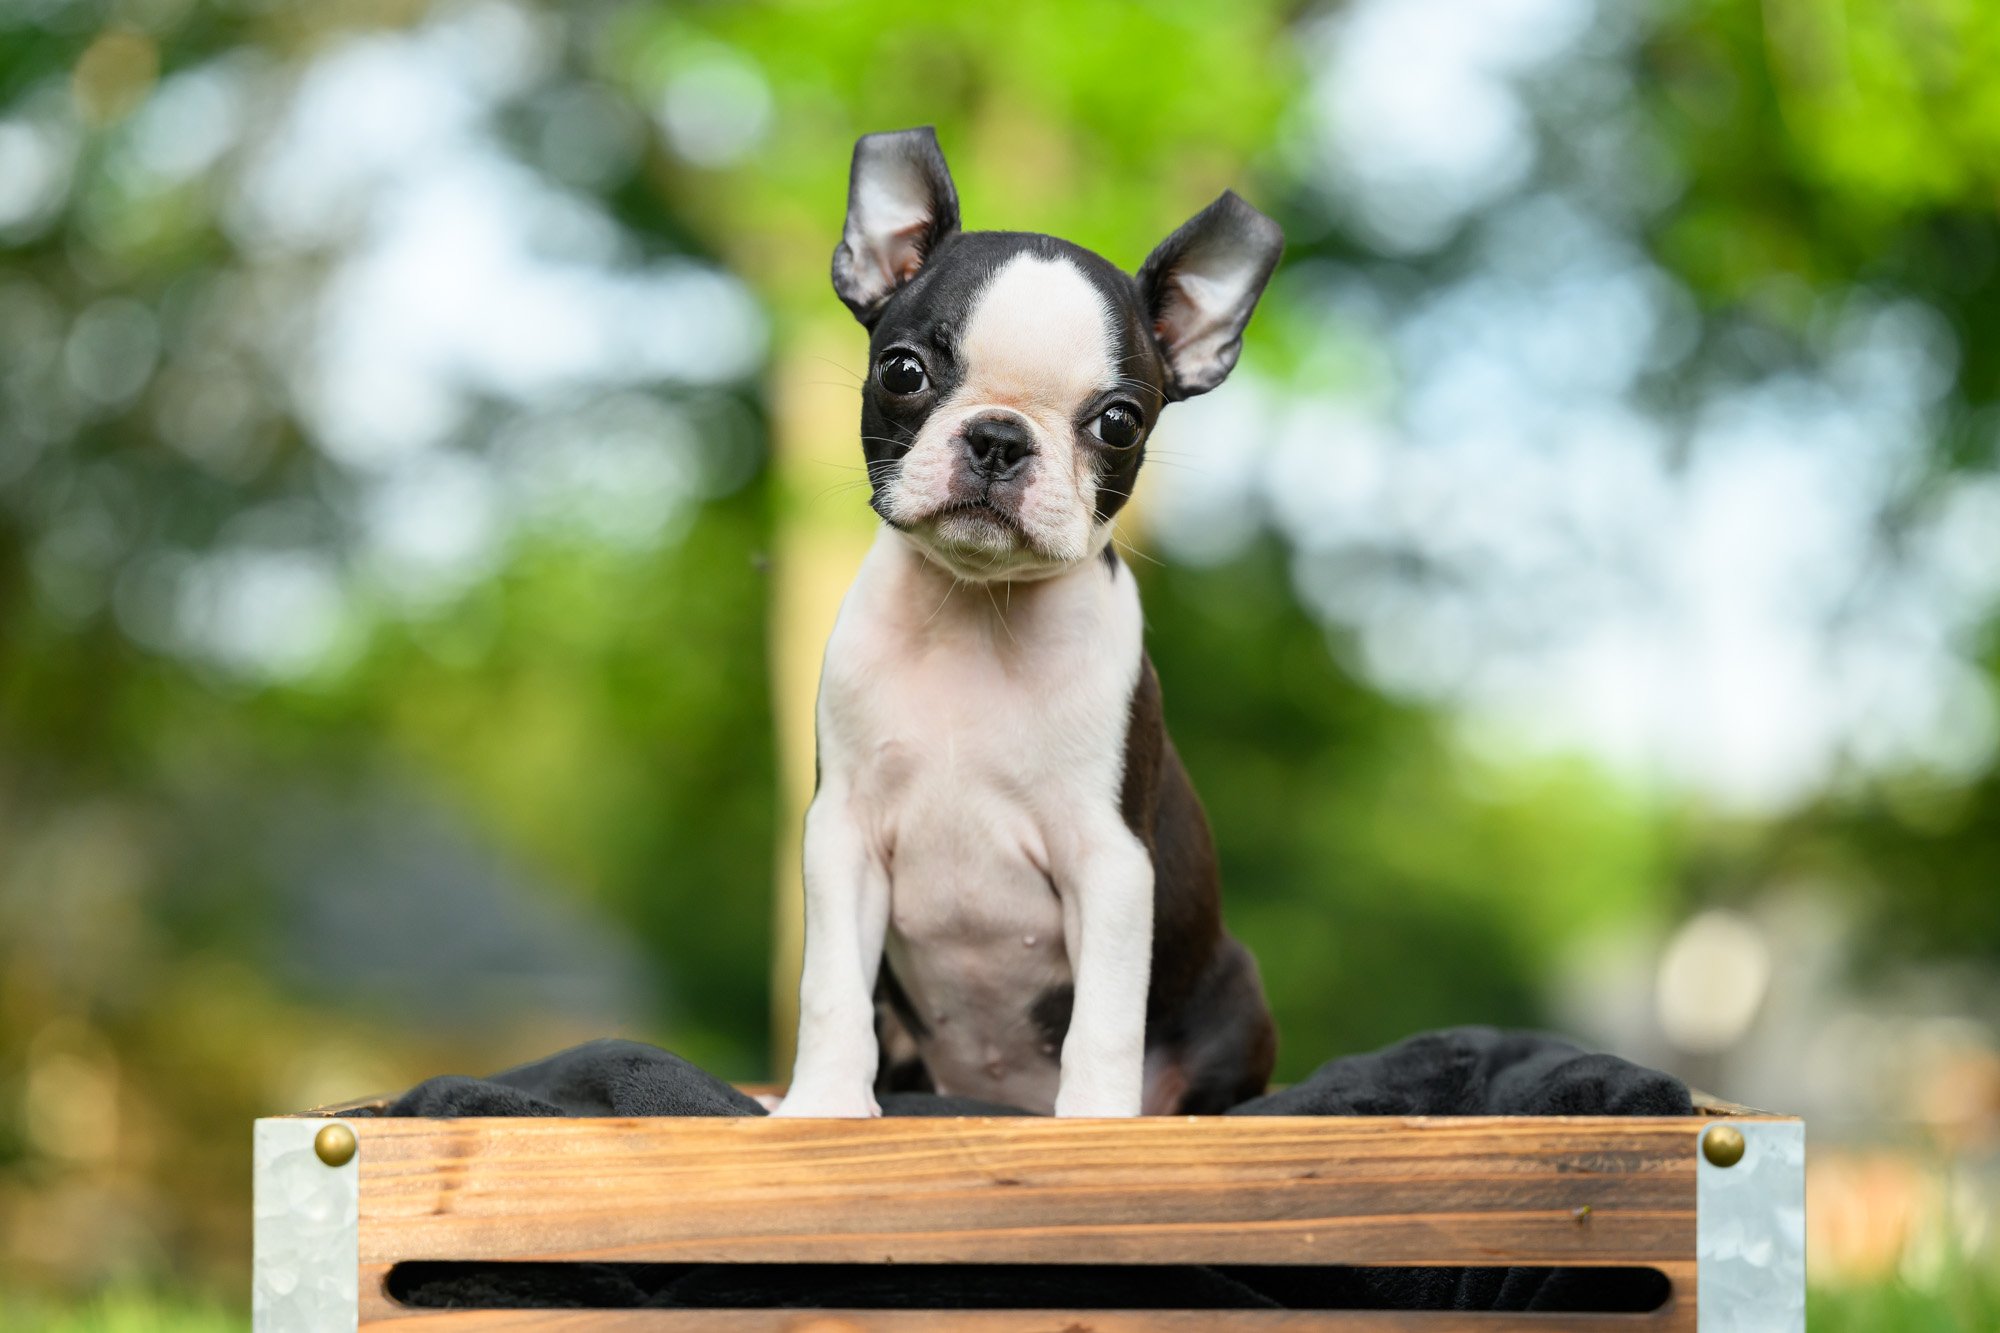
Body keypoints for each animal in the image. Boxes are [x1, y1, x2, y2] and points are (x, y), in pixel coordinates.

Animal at [772, 130, 1272, 1112]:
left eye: (1118, 422)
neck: (975, 613)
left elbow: (1106, 1019)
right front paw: (822, 1106)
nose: (1000, 437)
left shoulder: (1110, 861)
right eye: (903, 371)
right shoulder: (842, 833)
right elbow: (830, 989)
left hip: (1235, 991)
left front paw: (1094, 1123)